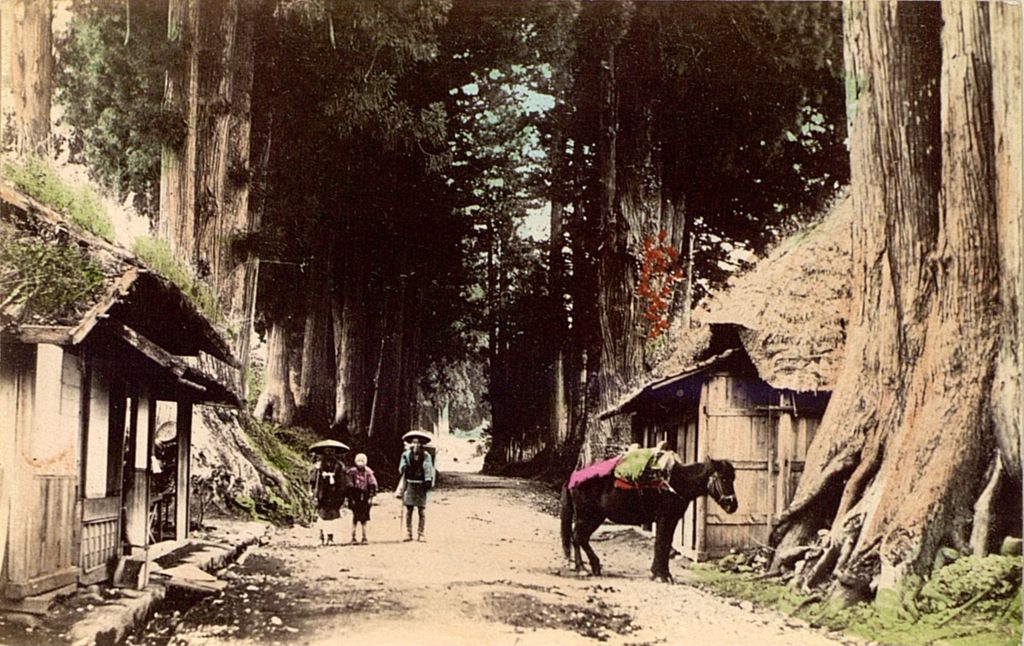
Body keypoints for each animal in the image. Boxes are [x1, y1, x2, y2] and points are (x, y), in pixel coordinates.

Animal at [561, 452, 737, 585]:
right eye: (724, 478)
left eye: (733, 478)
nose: (733, 505)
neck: (676, 483)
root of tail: (573, 477)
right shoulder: (664, 519)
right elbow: (661, 544)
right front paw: (661, 575)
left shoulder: (671, 520)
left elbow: (665, 543)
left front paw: (661, 573)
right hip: (587, 516)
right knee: (578, 537)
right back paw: (582, 568)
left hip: (594, 517)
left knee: (580, 538)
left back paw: (592, 566)